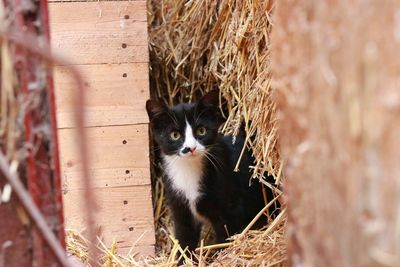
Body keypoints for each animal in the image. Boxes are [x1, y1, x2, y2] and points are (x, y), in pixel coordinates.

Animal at [145, 91, 280, 255]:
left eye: (201, 131)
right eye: (175, 135)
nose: (190, 148)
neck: (188, 170)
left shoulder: (229, 209)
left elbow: (225, 237)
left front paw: (220, 256)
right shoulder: (180, 208)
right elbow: (184, 239)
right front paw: (182, 258)